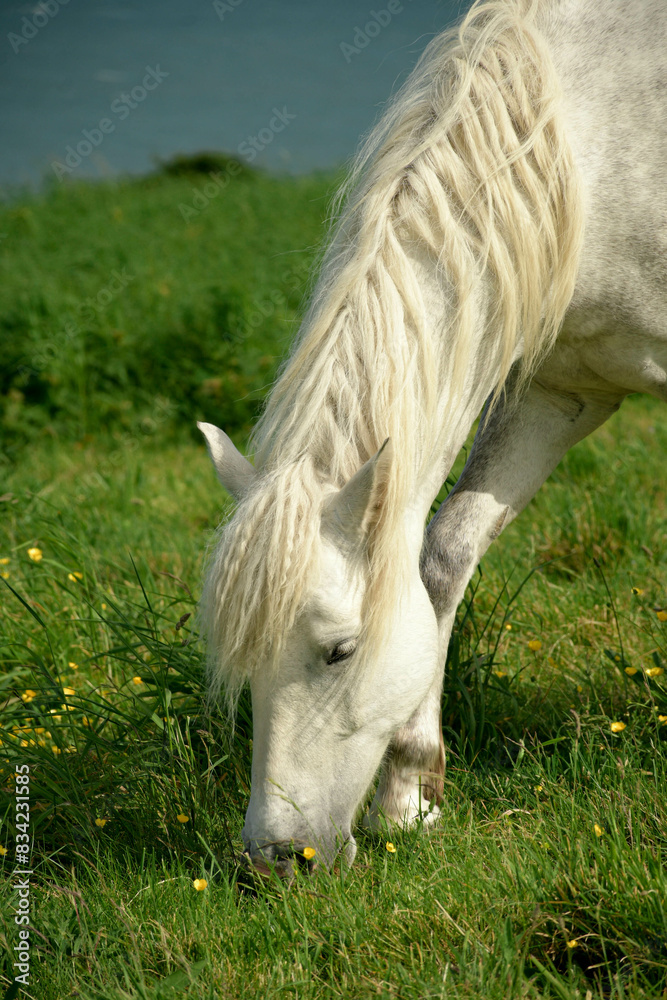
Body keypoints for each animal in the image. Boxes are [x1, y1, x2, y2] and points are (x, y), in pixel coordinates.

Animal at [198, 0, 667, 875]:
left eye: (339, 652)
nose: (276, 857)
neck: (597, 135)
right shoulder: (558, 392)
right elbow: (443, 556)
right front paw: (410, 796)